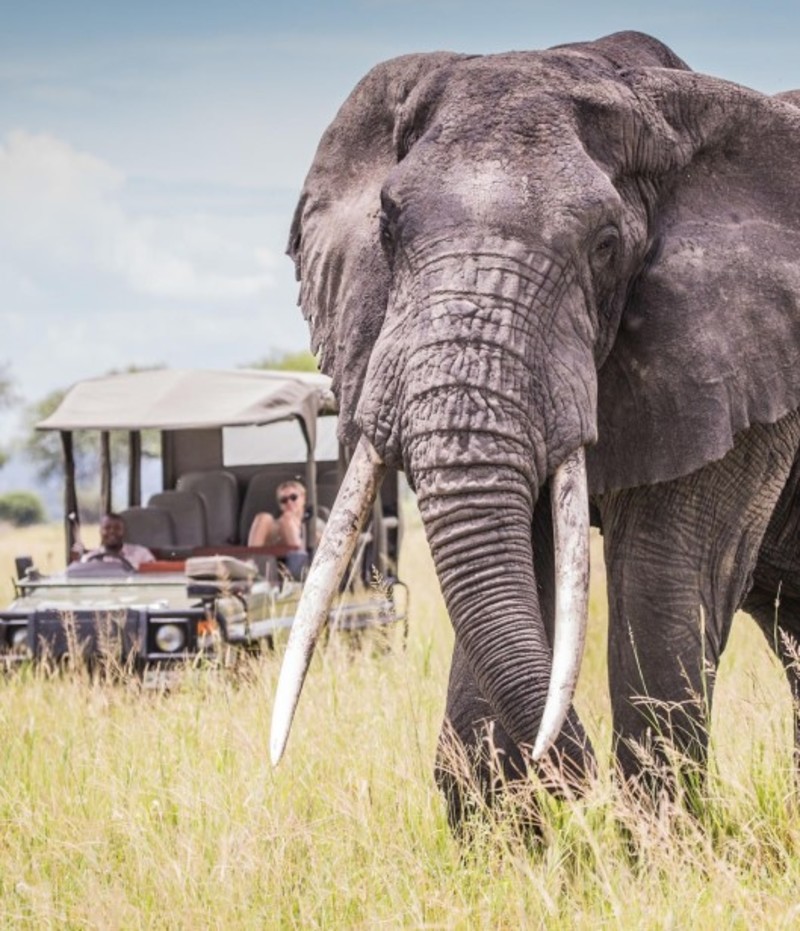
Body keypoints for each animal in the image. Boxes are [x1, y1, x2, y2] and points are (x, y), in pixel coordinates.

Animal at [270, 30, 800, 826]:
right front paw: (502, 832)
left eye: (606, 244)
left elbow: (666, 580)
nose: (577, 783)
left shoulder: (743, 360)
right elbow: (517, 562)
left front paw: (656, 841)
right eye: (388, 227)